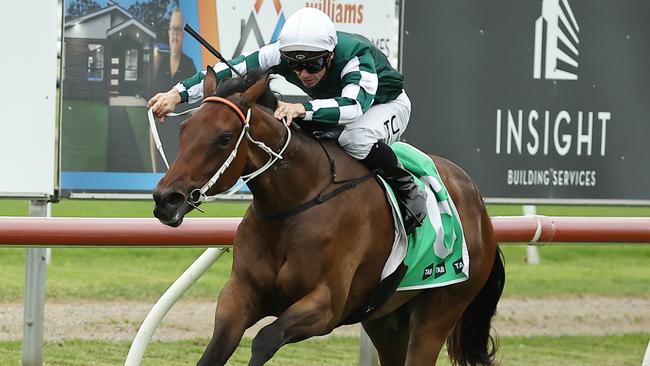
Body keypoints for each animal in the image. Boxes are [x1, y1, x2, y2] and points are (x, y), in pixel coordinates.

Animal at [153, 68, 506, 366]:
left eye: (224, 138)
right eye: (184, 130)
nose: (165, 199)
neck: (297, 201)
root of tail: (479, 205)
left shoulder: (327, 306)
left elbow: (266, 338)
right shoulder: (240, 294)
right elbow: (214, 350)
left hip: (441, 309)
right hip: (386, 319)